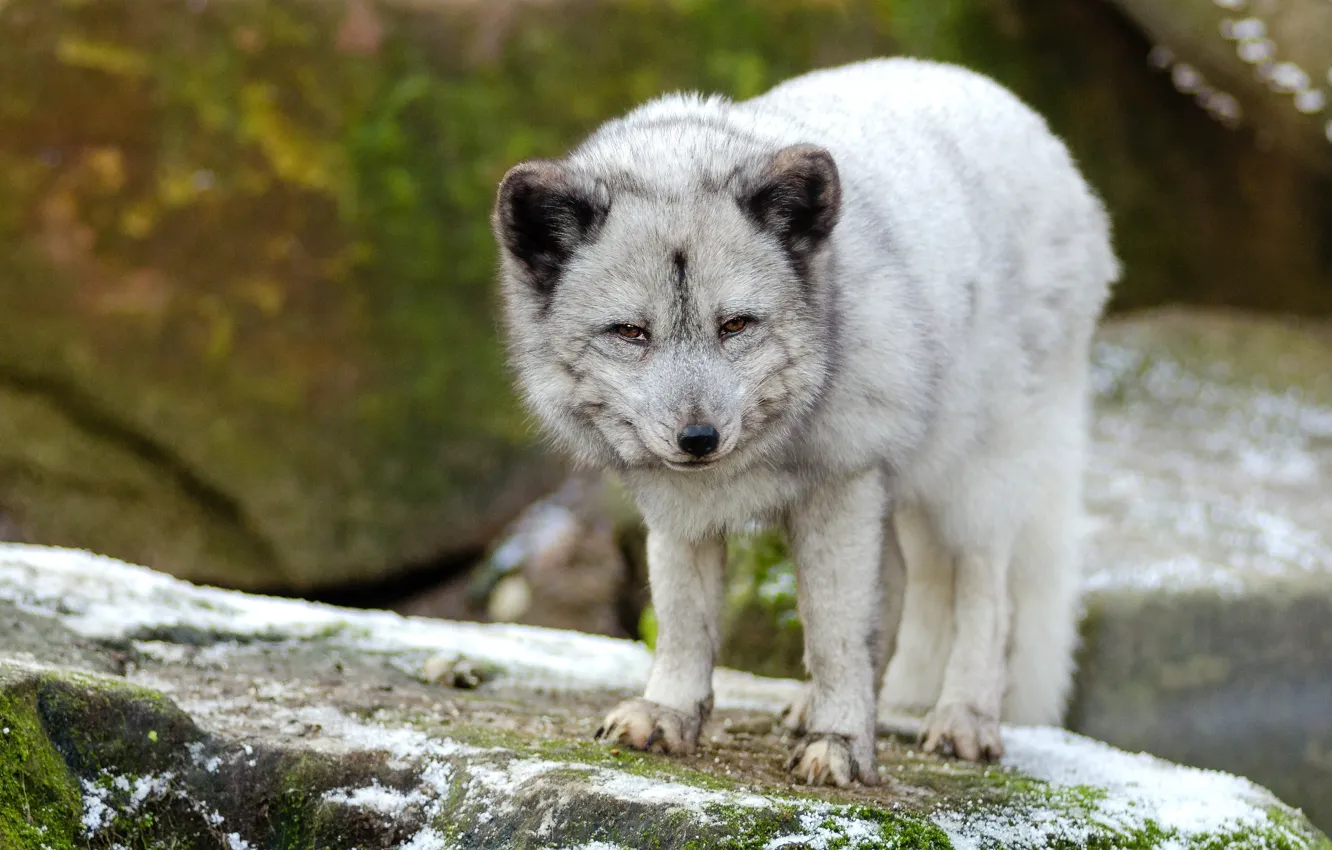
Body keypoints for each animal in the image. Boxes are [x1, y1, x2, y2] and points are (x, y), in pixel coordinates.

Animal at [490, 57, 1117, 787]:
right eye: (629, 332)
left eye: (736, 325)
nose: (698, 439)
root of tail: (1030, 122)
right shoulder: (678, 505)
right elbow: (682, 619)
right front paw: (670, 713)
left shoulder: (842, 483)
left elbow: (836, 631)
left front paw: (840, 742)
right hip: (904, 486)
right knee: (914, 586)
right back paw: (886, 705)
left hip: (976, 477)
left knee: (985, 592)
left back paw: (961, 717)